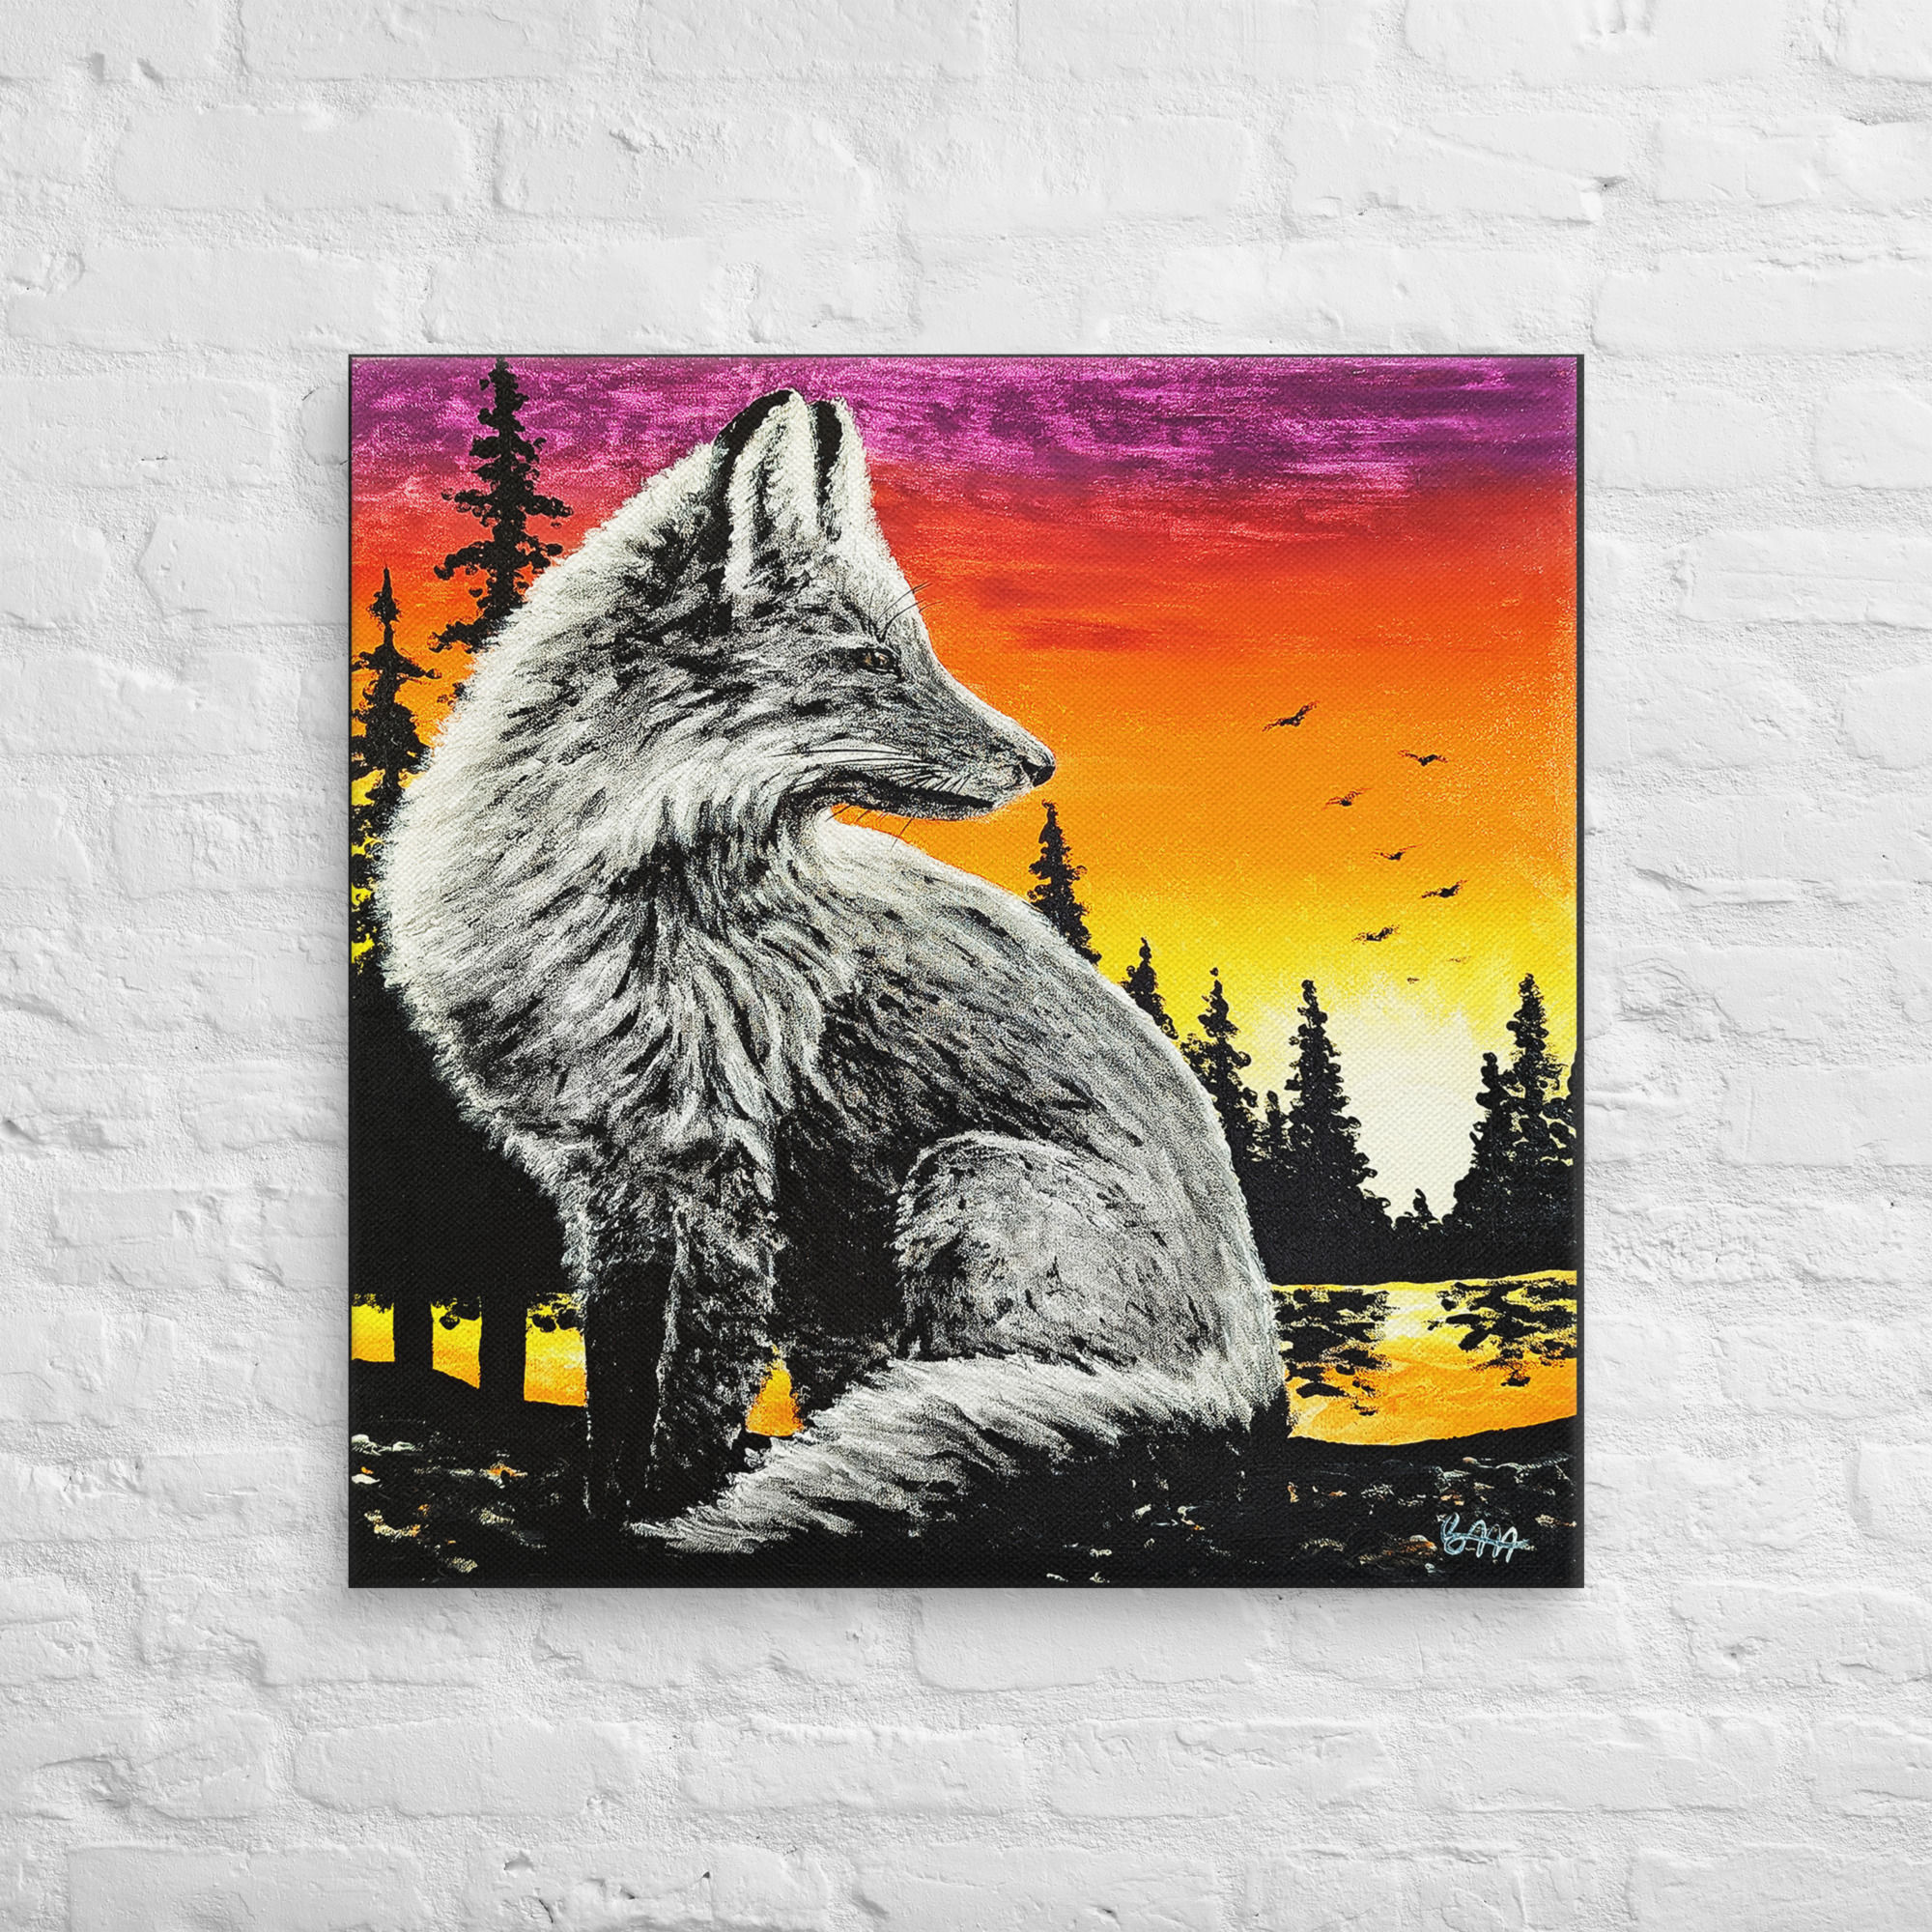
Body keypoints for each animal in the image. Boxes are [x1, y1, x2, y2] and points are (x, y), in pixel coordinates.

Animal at [378, 388, 1286, 1562]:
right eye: (873, 661)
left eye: (920, 652)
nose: (1040, 763)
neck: (626, 924)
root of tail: (1251, 1372)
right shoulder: (612, 1178)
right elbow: (620, 1376)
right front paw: (603, 1501)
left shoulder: (733, 1171)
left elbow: (701, 1378)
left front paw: (667, 1510)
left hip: (960, 1180)